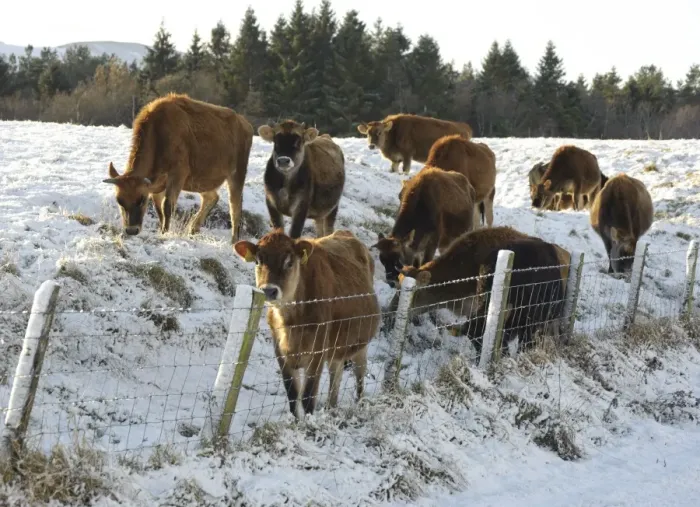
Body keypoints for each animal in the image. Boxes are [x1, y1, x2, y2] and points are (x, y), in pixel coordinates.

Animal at [103, 93, 253, 243]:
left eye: (142, 199)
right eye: (119, 200)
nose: (131, 230)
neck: (158, 134)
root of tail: (245, 124)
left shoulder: (177, 175)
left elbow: (167, 206)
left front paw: (165, 232)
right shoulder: (157, 186)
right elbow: (159, 209)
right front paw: (162, 230)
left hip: (237, 175)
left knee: (235, 207)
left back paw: (233, 241)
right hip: (201, 181)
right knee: (212, 197)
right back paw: (193, 228)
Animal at [233, 229, 380, 418]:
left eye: (289, 262)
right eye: (258, 261)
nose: (269, 290)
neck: (291, 323)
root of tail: (345, 232)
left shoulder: (317, 352)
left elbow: (308, 396)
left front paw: (308, 422)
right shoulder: (280, 352)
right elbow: (292, 395)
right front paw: (296, 421)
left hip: (360, 344)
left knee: (360, 374)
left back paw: (360, 404)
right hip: (336, 347)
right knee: (336, 374)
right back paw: (331, 408)